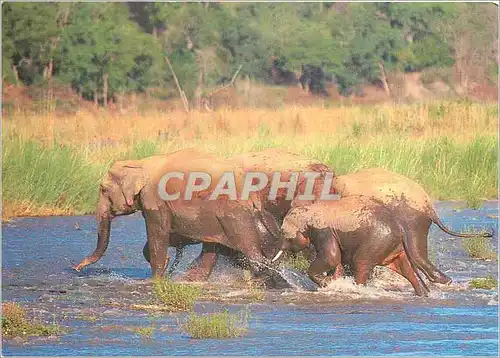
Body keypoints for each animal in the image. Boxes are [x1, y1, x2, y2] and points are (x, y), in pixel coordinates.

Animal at [72, 148, 288, 276]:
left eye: (102, 190)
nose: (77, 268)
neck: (139, 163)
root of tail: (254, 194)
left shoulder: (154, 199)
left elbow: (158, 234)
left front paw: (157, 278)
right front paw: (166, 265)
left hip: (233, 213)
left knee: (251, 253)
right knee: (212, 250)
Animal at [282, 196, 430, 296]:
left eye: (284, 234)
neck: (308, 209)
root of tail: (401, 229)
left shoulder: (323, 231)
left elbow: (332, 257)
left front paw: (328, 284)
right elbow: (337, 262)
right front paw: (333, 283)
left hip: (378, 241)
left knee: (361, 263)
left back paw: (357, 290)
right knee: (405, 268)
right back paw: (421, 294)